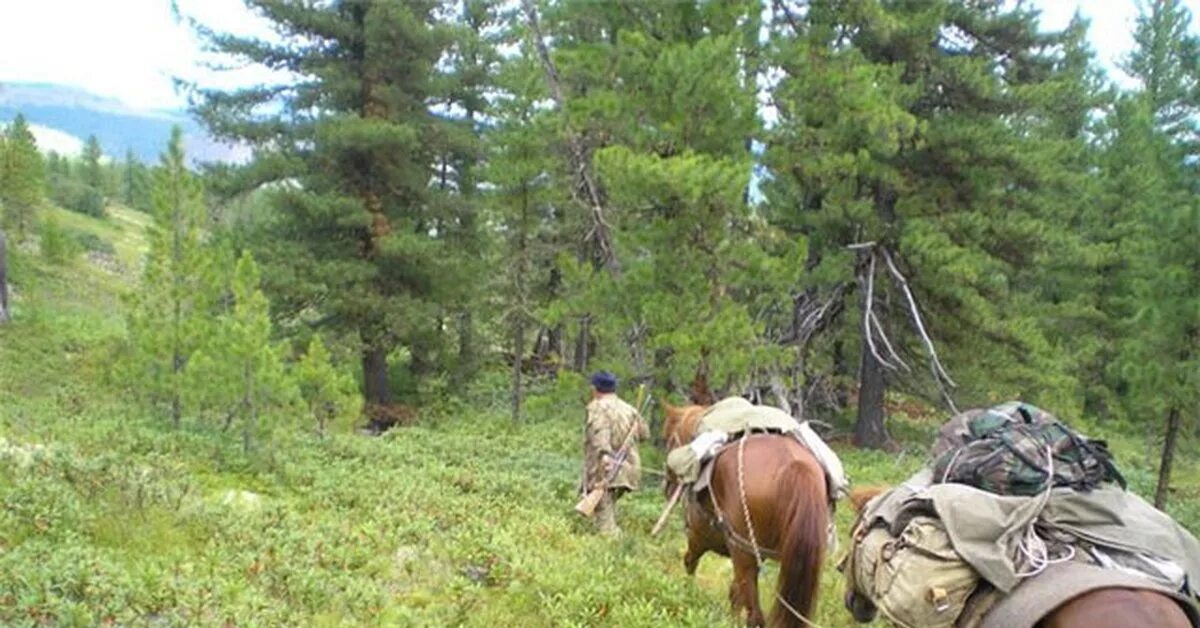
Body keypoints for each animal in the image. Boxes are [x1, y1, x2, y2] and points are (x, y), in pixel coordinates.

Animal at [662, 405, 830, 624]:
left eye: (668, 439)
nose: (667, 487)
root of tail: (795, 466)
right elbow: (735, 592)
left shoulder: (699, 536)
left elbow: (690, 562)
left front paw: (687, 594)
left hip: (741, 551)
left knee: (755, 615)